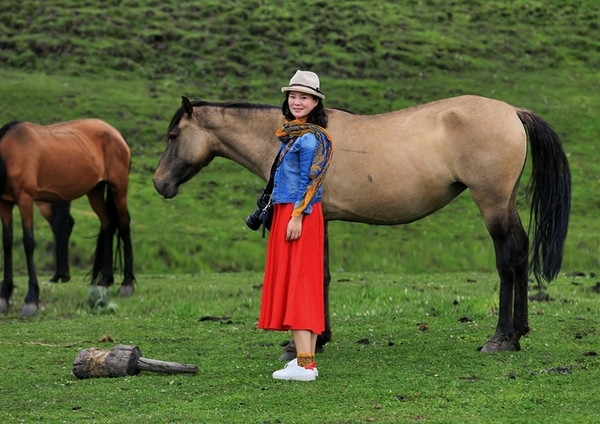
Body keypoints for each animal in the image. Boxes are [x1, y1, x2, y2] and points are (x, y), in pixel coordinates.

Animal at [0, 118, 136, 314]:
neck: (10, 154)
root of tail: (116, 133)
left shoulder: (25, 200)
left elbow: (28, 243)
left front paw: (31, 298)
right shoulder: (4, 203)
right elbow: (7, 243)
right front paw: (4, 295)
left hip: (118, 187)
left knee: (124, 225)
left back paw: (127, 284)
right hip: (95, 191)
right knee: (109, 224)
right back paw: (105, 280)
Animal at [152, 96, 568, 354]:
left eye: (173, 136)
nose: (159, 183)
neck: (300, 137)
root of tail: (512, 111)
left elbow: (315, 275)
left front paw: (311, 340)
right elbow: (321, 274)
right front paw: (321, 337)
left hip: (492, 202)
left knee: (508, 259)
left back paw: (502, 338)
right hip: (505, 202)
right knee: (522, 253)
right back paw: (519, 332)